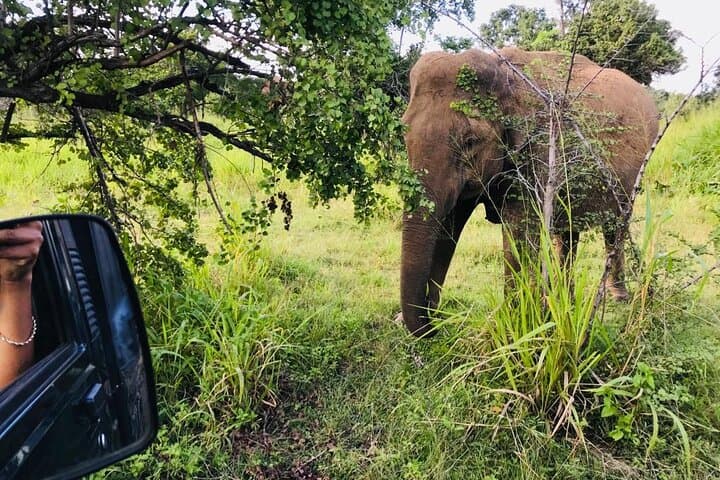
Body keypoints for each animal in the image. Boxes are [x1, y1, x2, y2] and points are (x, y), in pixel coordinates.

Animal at [399, 47, 659, 337]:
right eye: (403, 134)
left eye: (469, 141)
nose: (433, 327)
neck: (505, 76)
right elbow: (449, 228)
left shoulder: (538, 151)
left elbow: (517, 235)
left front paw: (512, 324)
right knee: (568, 233)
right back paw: (565, 300)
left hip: (635, 169)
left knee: (615, 224)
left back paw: (617, 296)